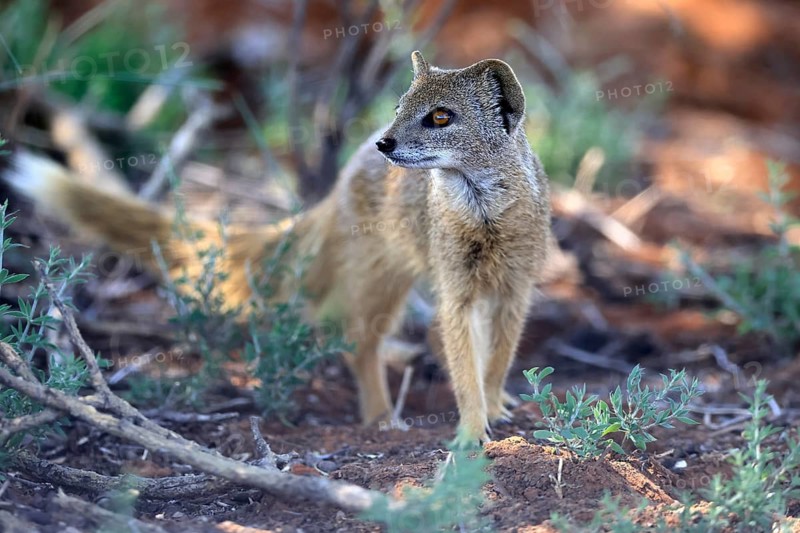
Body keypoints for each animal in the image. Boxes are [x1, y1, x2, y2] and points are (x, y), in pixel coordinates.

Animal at [4, 51, 550, 447]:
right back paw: (380, 417)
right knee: (357, 343)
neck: (486, 221)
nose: (386, 142)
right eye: (399, 107)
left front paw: (496, 407)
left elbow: (498, 361)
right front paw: (471, 431)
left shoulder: (517, 287)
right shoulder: (454, 288)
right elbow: (465, 369)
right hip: (383, 276)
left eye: (440, 116)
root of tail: (343, 176)